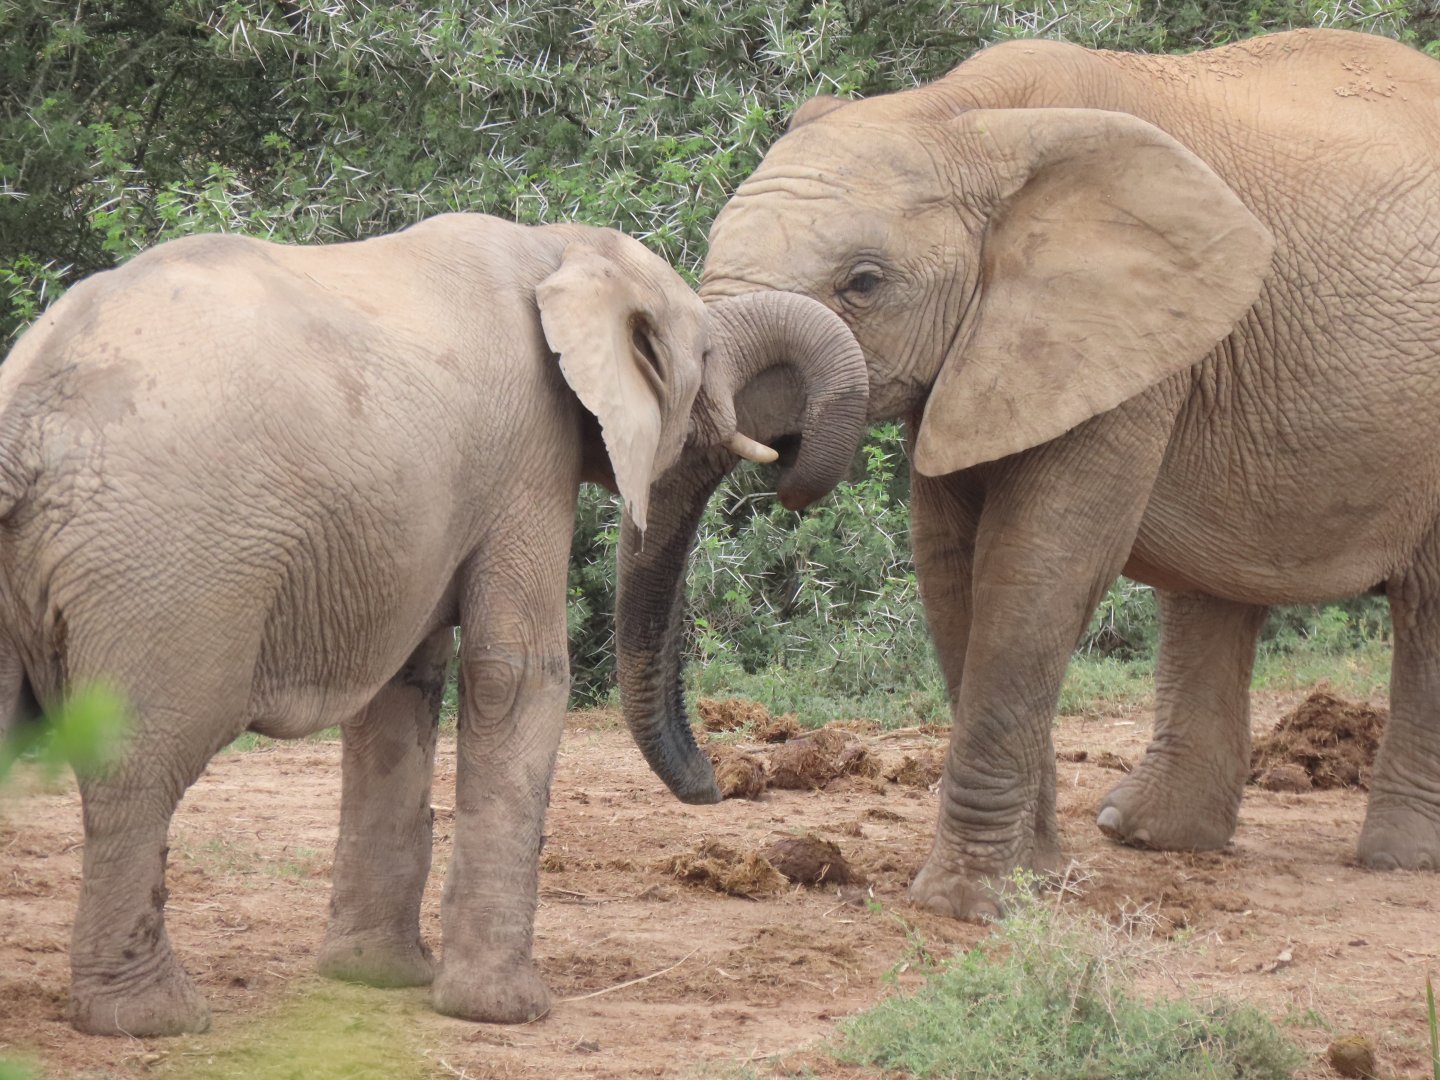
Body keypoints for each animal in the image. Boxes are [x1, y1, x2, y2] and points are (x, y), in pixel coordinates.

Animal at [0, 212, 869, 1035]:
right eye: (706, 356)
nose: (719, 785)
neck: (559, 247)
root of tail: (27, 411)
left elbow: (403, 689)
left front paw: (376, 980)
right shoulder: (528, 452)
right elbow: (516, 673)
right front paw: (509, 1013)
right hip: (165, 570)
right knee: (139, 766)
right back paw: (154, 1020)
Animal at [615, 28, 1440, 919]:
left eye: (863, 283)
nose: (713, 783)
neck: (962, 118)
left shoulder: (1119, 340)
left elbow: (1037, 566)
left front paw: (963, 905)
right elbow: (952, 573)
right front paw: (1036, 879)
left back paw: (1398, 860)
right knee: (1211, 596)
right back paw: (1147, 835)